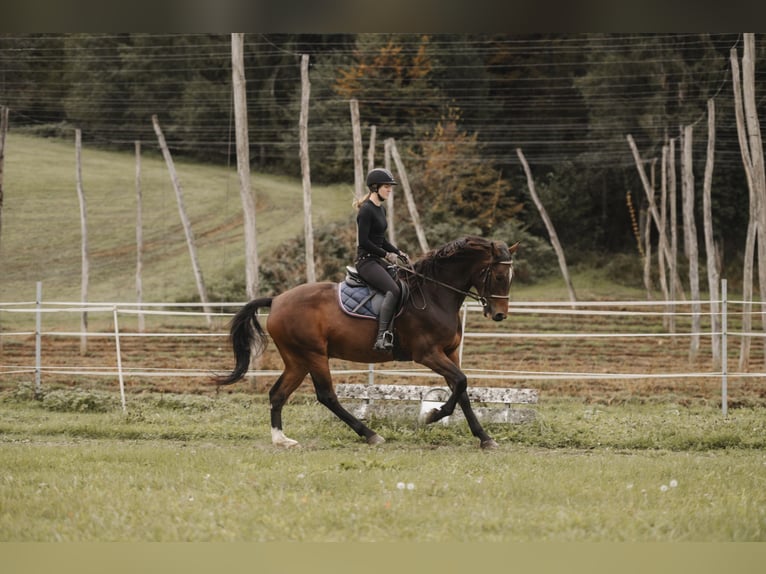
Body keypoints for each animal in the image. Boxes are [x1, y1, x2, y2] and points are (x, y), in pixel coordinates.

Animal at [217, 236, 518, 449]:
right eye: (499, 276)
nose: (499, 314)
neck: (436, 294)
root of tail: (277, 299)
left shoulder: (450, 353)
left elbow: (462, 389)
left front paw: (484, 438)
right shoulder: (428, 354)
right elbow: (461, 383)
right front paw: (432, 415)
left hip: (297, 360)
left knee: (278, 394)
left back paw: (281, 439)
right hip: (314, 355)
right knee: (326, 396)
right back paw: (370, 434)